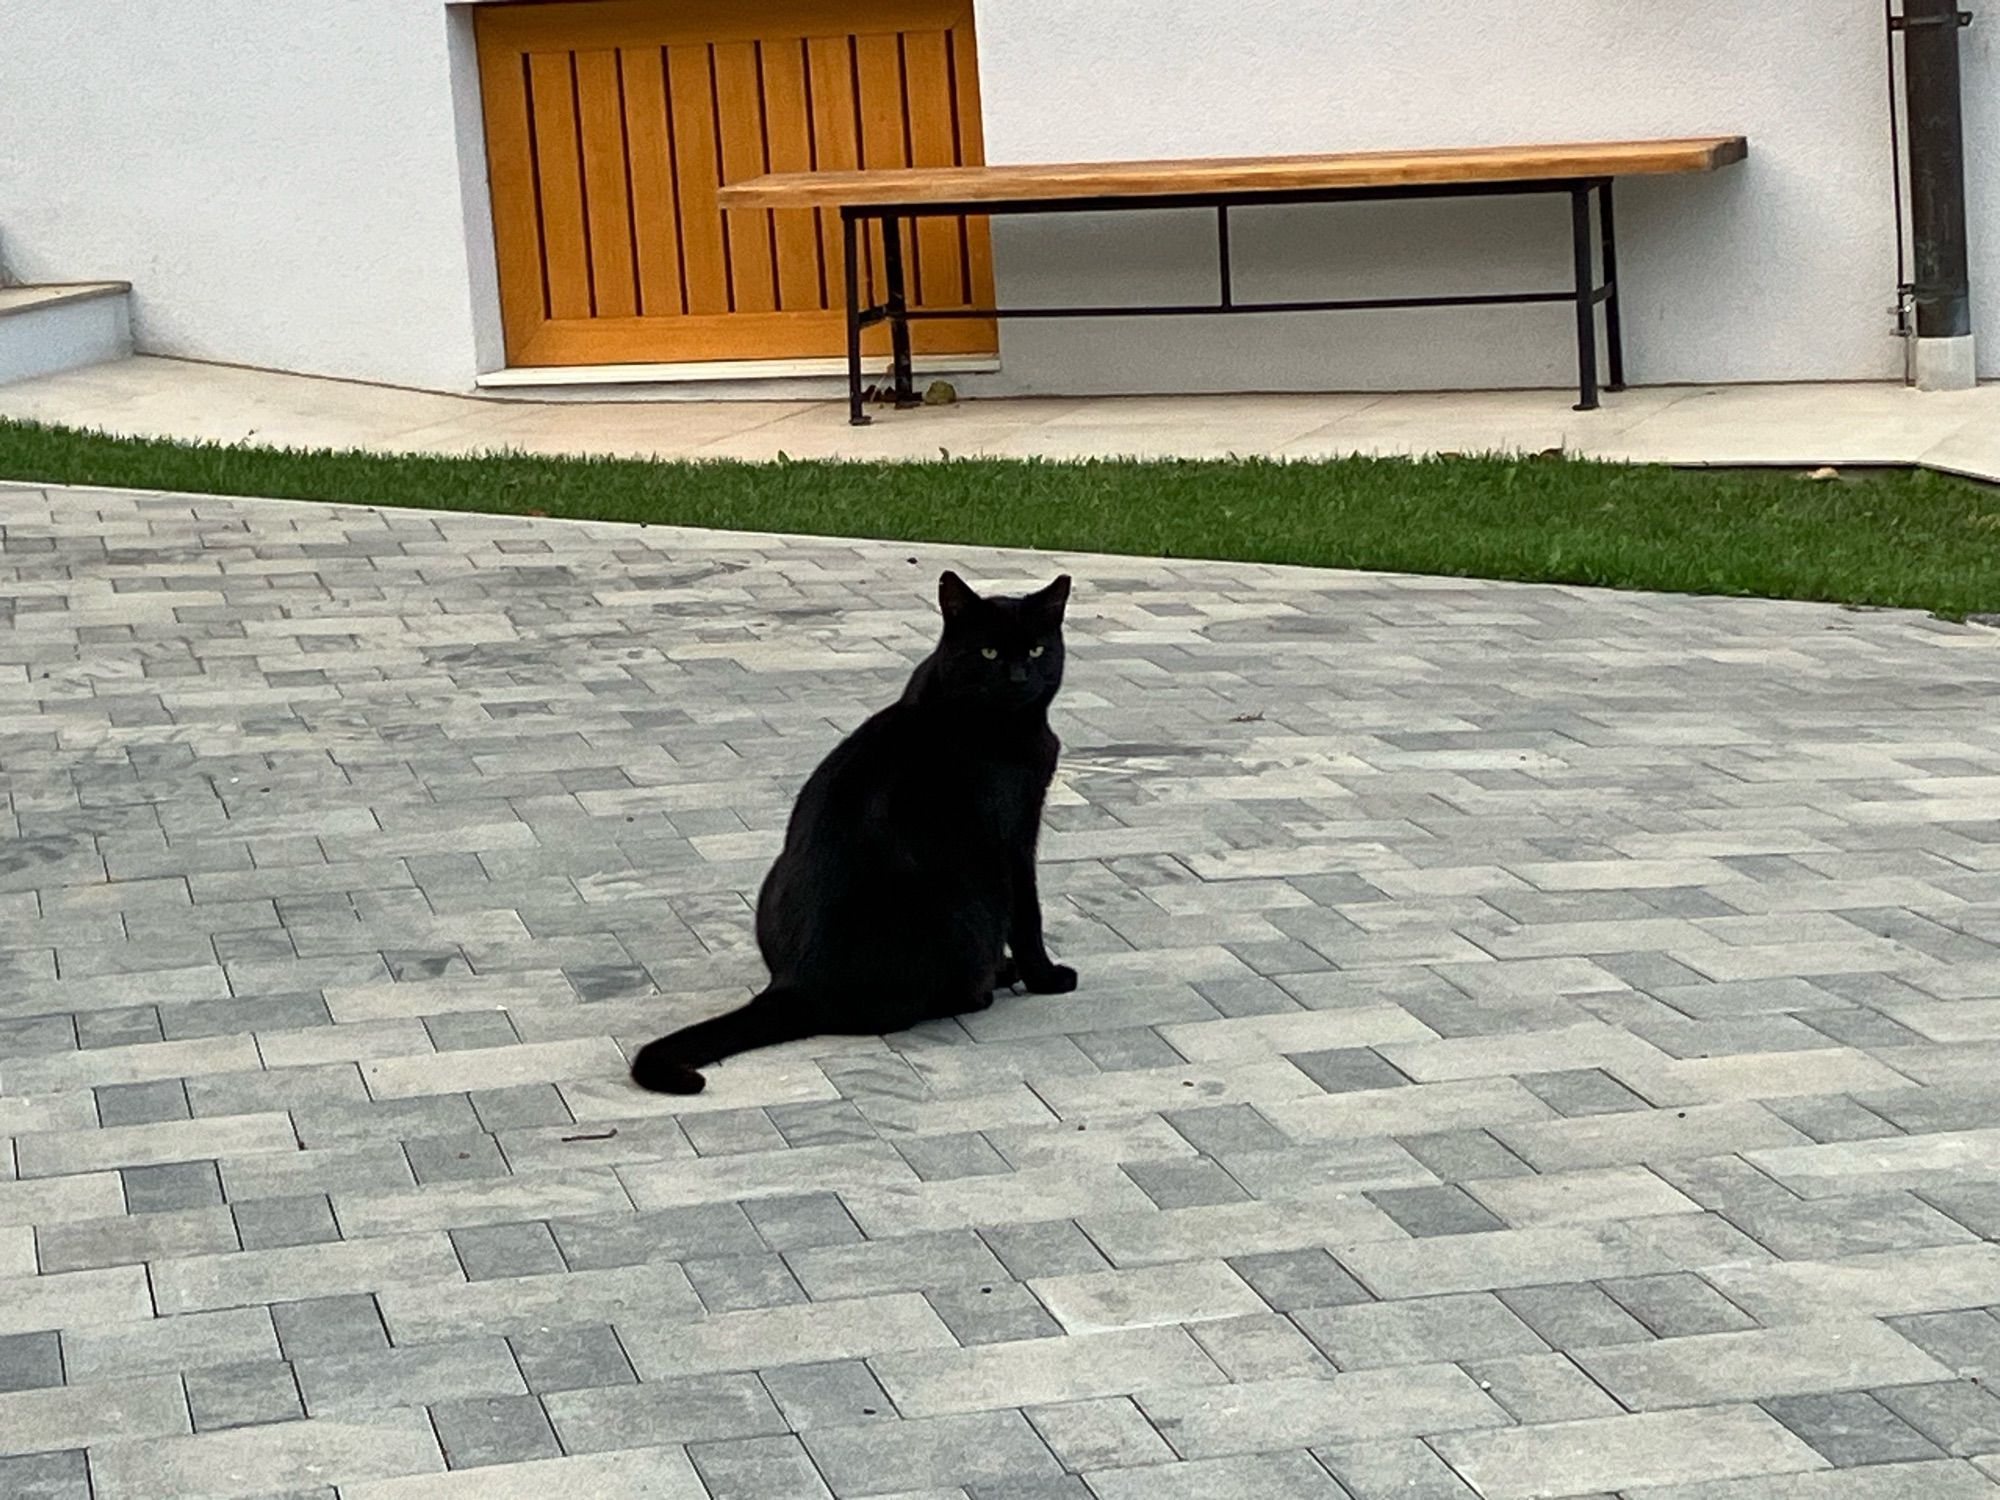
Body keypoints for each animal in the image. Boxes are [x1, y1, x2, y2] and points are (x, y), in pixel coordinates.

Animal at [628, 568, 1080, 1096]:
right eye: (988, 652)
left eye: (1036, 650)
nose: (1018, 677)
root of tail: (795, 987)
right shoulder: (1011, 838)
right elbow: (1028, 916)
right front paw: (1046, 978)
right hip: (958, 899)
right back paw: (991, 981)